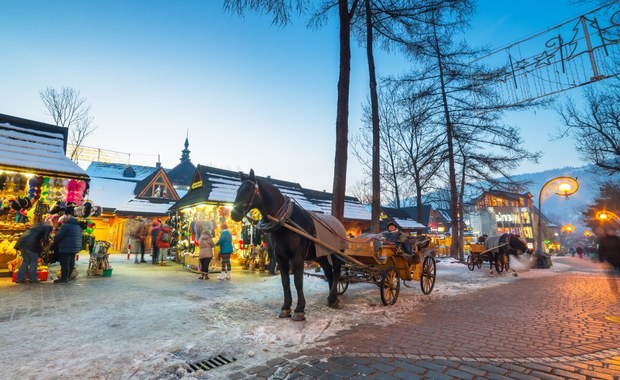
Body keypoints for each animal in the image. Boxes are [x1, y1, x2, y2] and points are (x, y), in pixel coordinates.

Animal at [231, 169, 346, 320]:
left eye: (248, 189)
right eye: (238, 190)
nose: (234, 214)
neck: (285, 222)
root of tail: (338, 222)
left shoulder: (297, 257)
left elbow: (298, 281)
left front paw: (299, 309)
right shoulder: (281, 257)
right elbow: (285, 282)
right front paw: (286, 307)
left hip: (336, 253)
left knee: (336, 271)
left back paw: (333, 298)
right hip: (320, 255)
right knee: (328, 272)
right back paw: (332, 299)